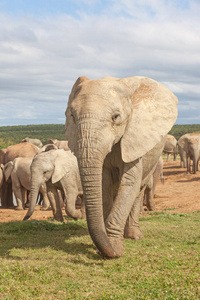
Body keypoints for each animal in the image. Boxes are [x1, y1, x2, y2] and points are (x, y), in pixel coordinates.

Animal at [65, 75, 177, 258]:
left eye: (115, 116)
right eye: (72, 116)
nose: (111, 253)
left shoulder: (134, 140)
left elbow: (130, 182)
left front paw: (114, 249)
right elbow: (103, 184)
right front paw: (106, 247)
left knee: (138, 190)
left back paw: (134, 236)